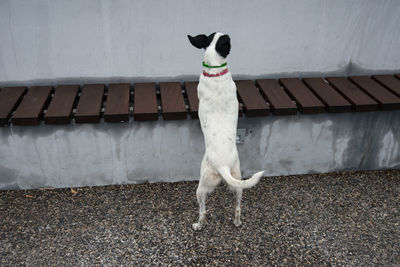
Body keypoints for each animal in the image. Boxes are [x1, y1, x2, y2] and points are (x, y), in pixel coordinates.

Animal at [188, 32, 264, 231]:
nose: (229, 34)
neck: (215, 71)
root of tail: (222, 166)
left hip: (202, 186)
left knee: (203, 211)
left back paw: (198, 225)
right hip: (237, 182)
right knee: (238, 206)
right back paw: (237, 222)